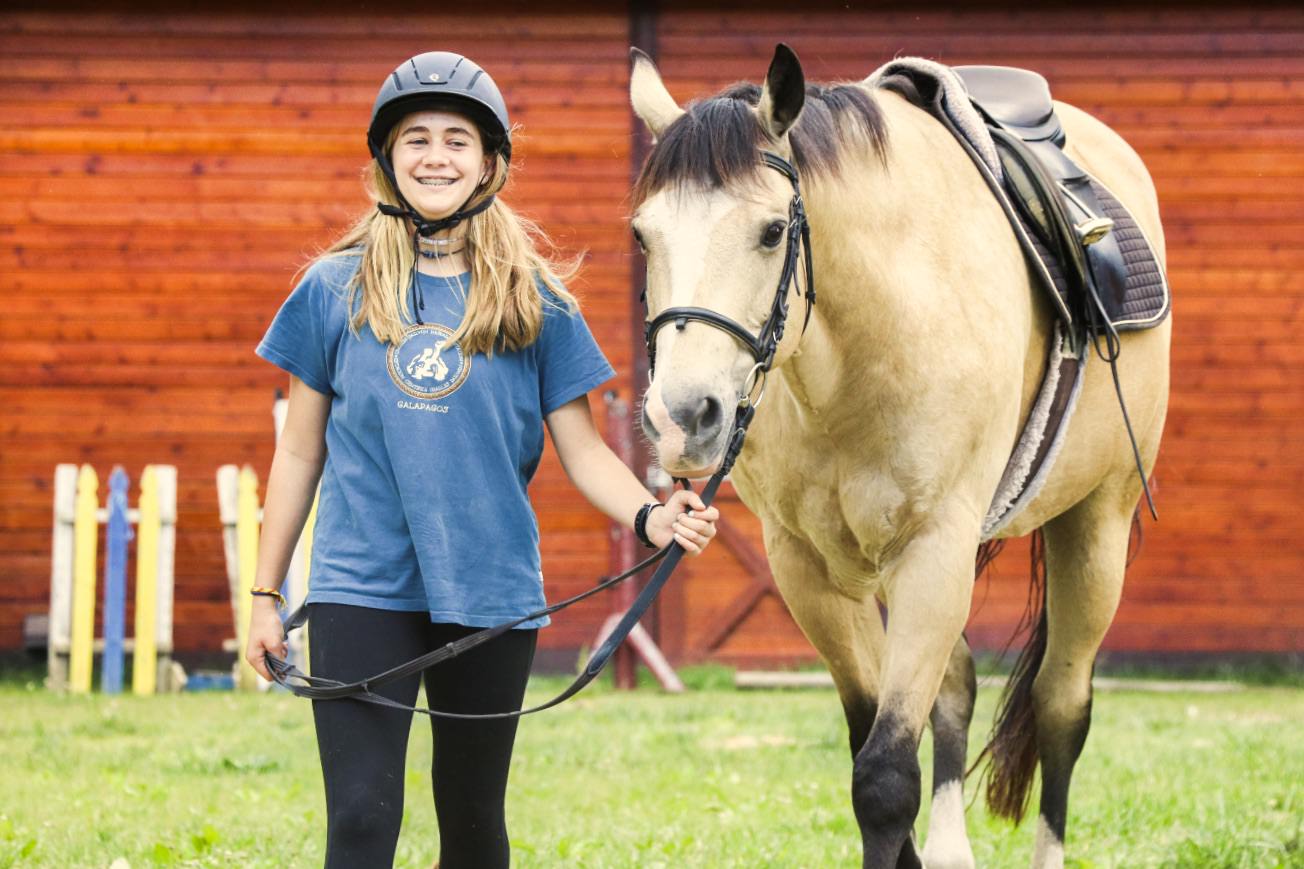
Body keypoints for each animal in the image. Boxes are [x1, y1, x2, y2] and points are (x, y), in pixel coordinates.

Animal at [625, 45, 1168, 866]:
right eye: (642, 236)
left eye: (771, 231)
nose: (682, 418)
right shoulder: (806, 565)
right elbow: (872, 740)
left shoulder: (934, 550)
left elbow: (883, 778)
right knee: (958, 691)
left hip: (1095, 525)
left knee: (1061, 708)